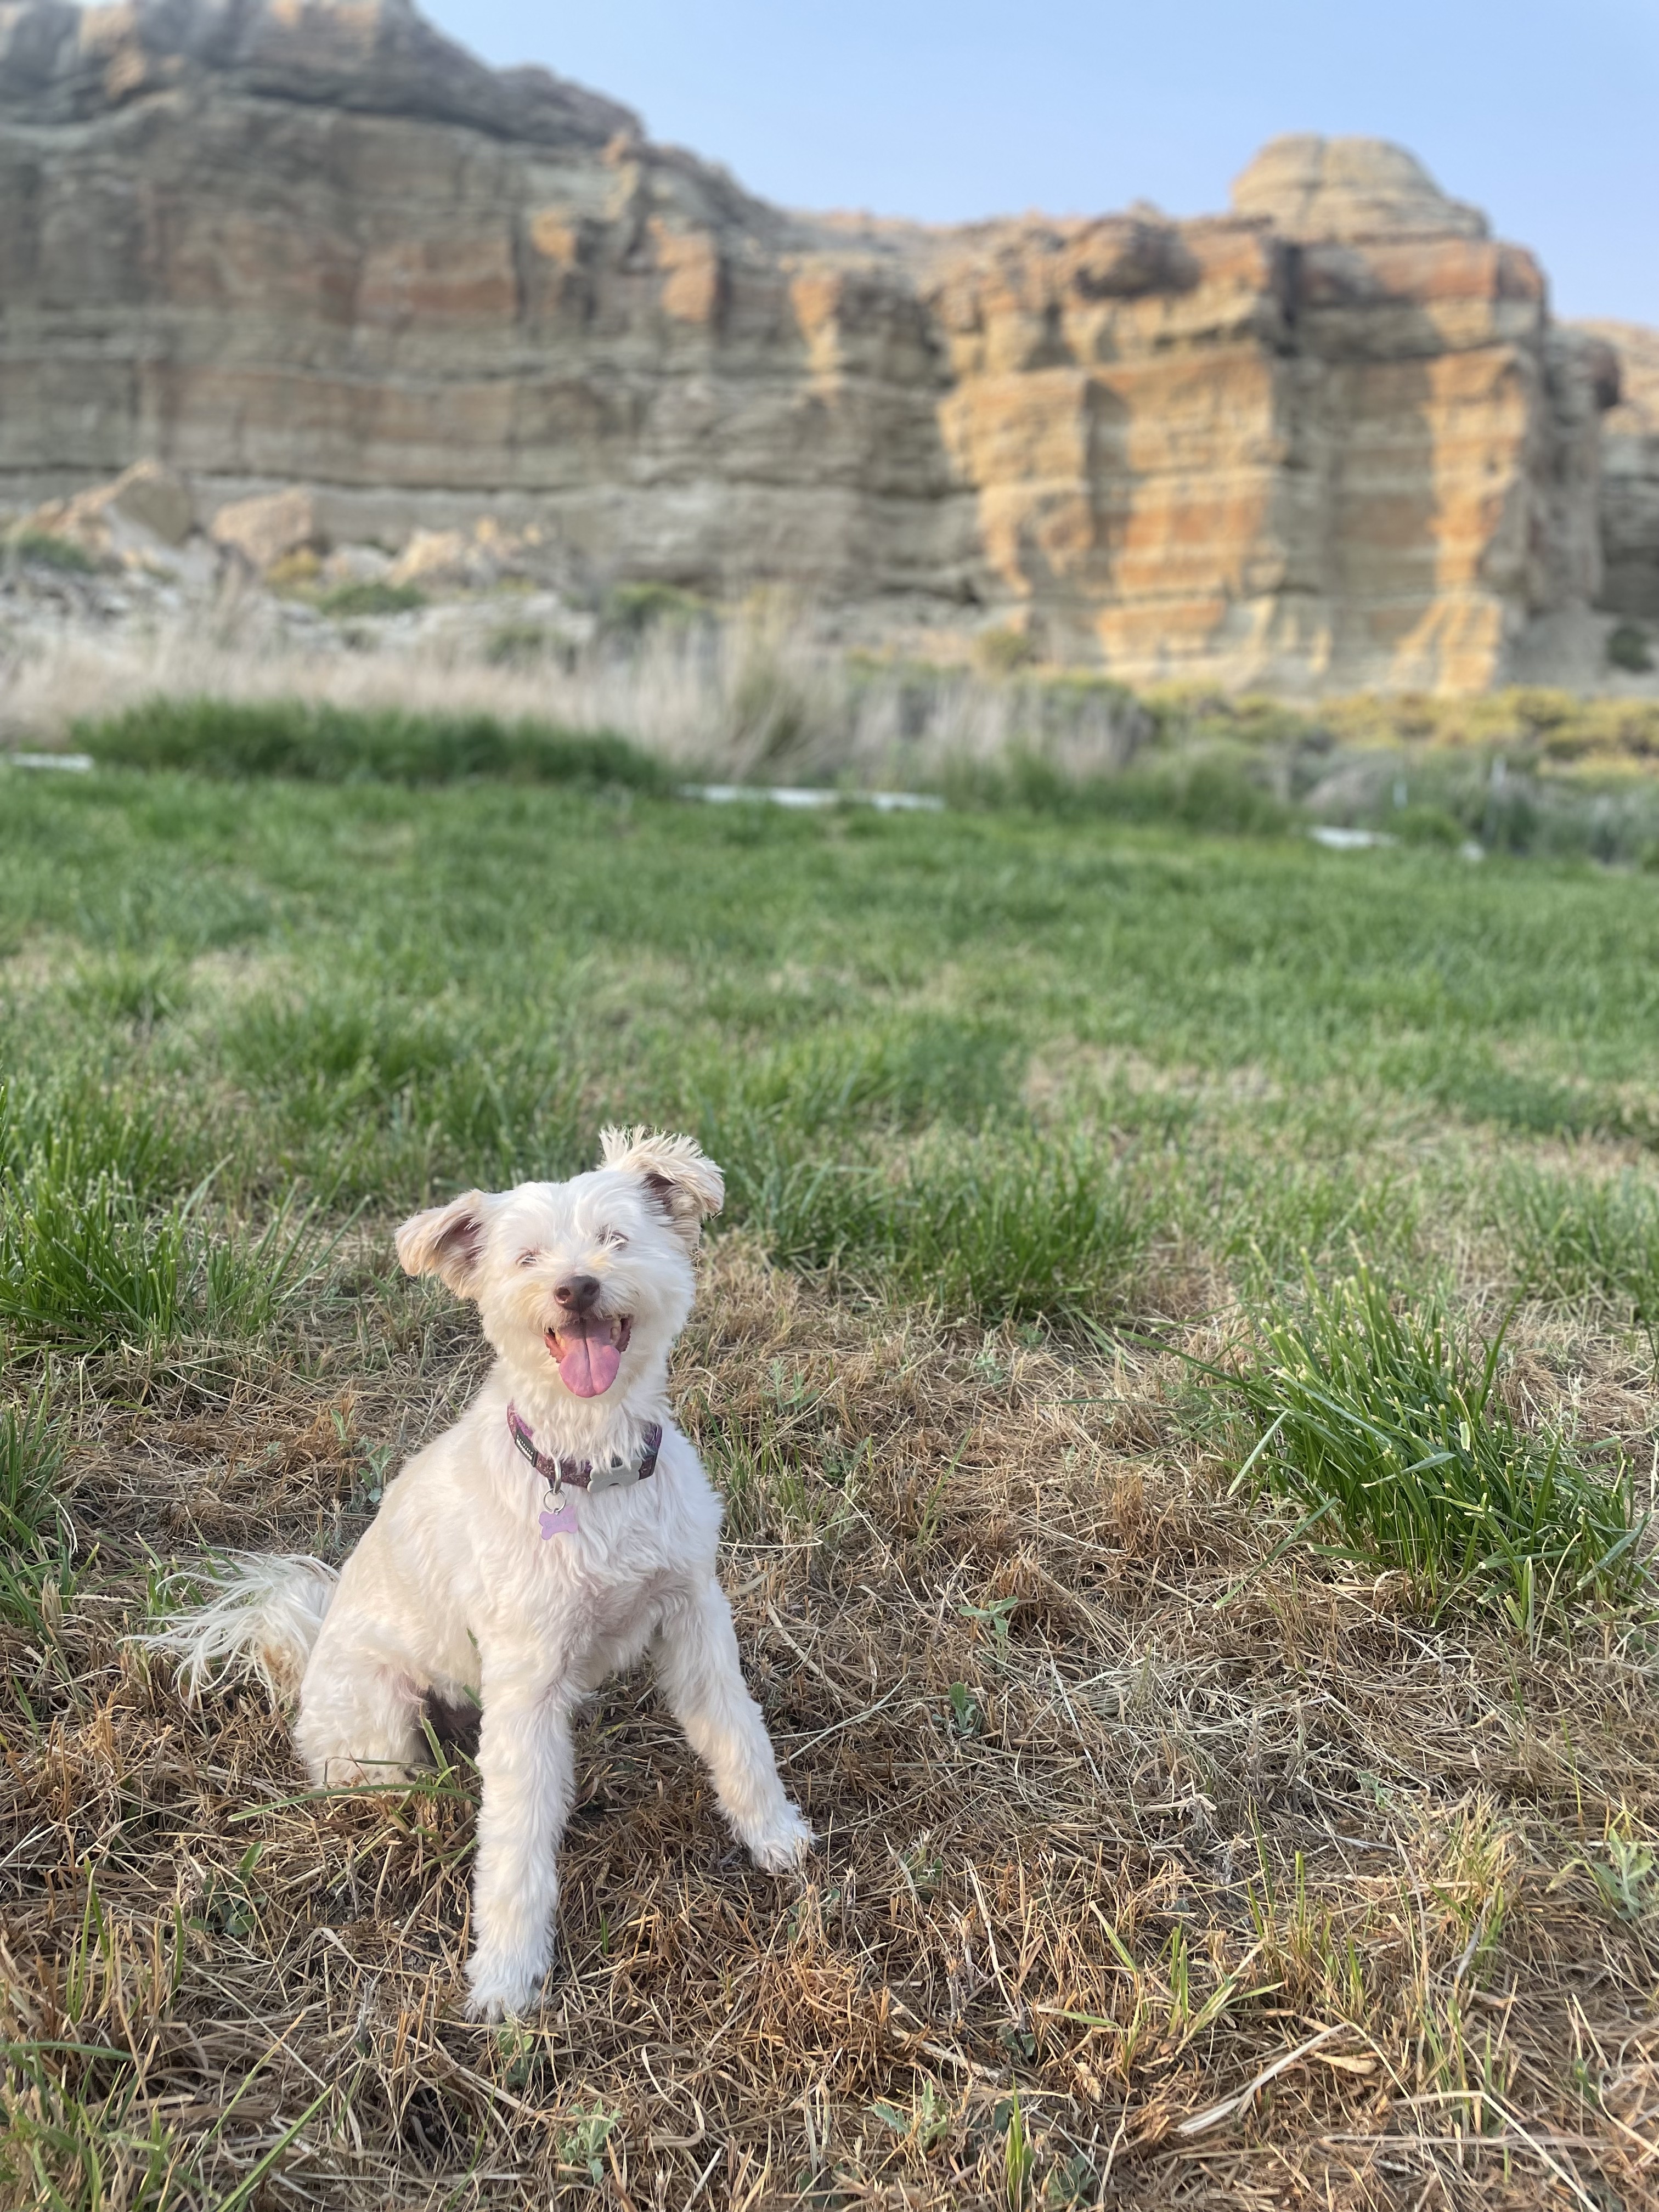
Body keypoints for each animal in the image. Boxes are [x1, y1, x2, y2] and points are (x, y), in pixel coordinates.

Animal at [153, 1132, 814, 2017]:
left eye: (615, 1239)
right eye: (527, 1256)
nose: (576, 1286)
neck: (591, 1465)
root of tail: (308, 1652)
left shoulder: (694, 1617)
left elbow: (737, 1734)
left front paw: (774, 1834)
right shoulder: (527, 1688)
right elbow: (516, 1838)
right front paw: (506, 1976)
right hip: (383, 1727)